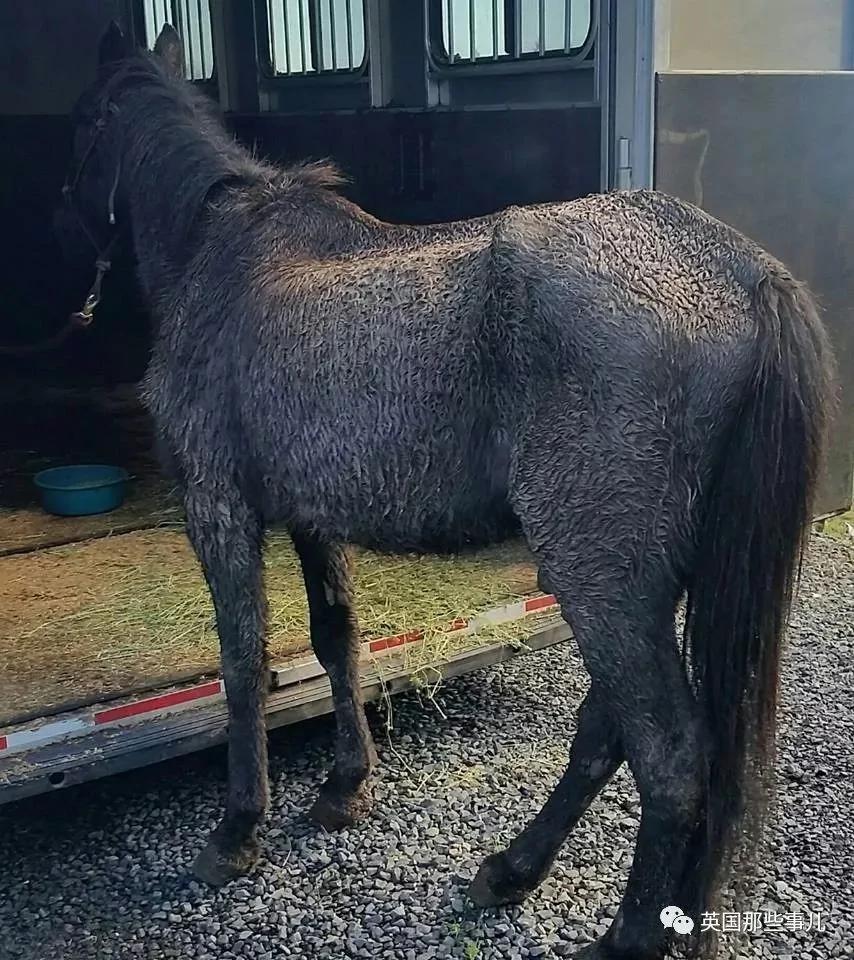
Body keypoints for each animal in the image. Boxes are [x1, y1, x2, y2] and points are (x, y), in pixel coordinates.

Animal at [54, 21, 832, 959]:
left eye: (83, 122)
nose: (55, 219)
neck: (226, 252)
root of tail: (741, 272)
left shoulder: (218, 508)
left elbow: (242, 663)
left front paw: (238, 831)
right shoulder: (315, 519)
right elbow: (335, 639)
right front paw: (344, 787)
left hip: (601, 579)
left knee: (671, 755)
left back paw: (626, 933)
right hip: (645, 584)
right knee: (608, 730)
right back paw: (514, 870)